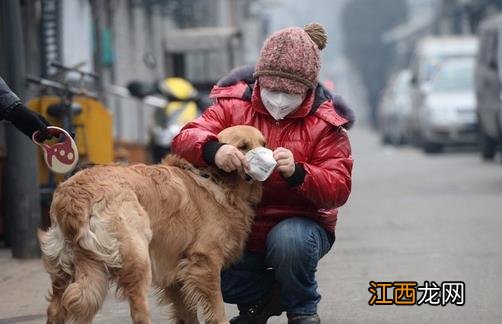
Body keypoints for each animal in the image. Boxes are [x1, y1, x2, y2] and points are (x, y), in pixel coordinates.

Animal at [38, 125, 264, 322]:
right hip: (137, 259)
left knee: (56, 308)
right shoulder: (205, 262)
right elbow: (217, 311)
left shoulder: (176, 275)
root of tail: (73, 195)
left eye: (263, 142)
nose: (268, 152)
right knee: (138, 311)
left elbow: (187, 316)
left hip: (65, 267)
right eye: (243, 147)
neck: (215, 179)